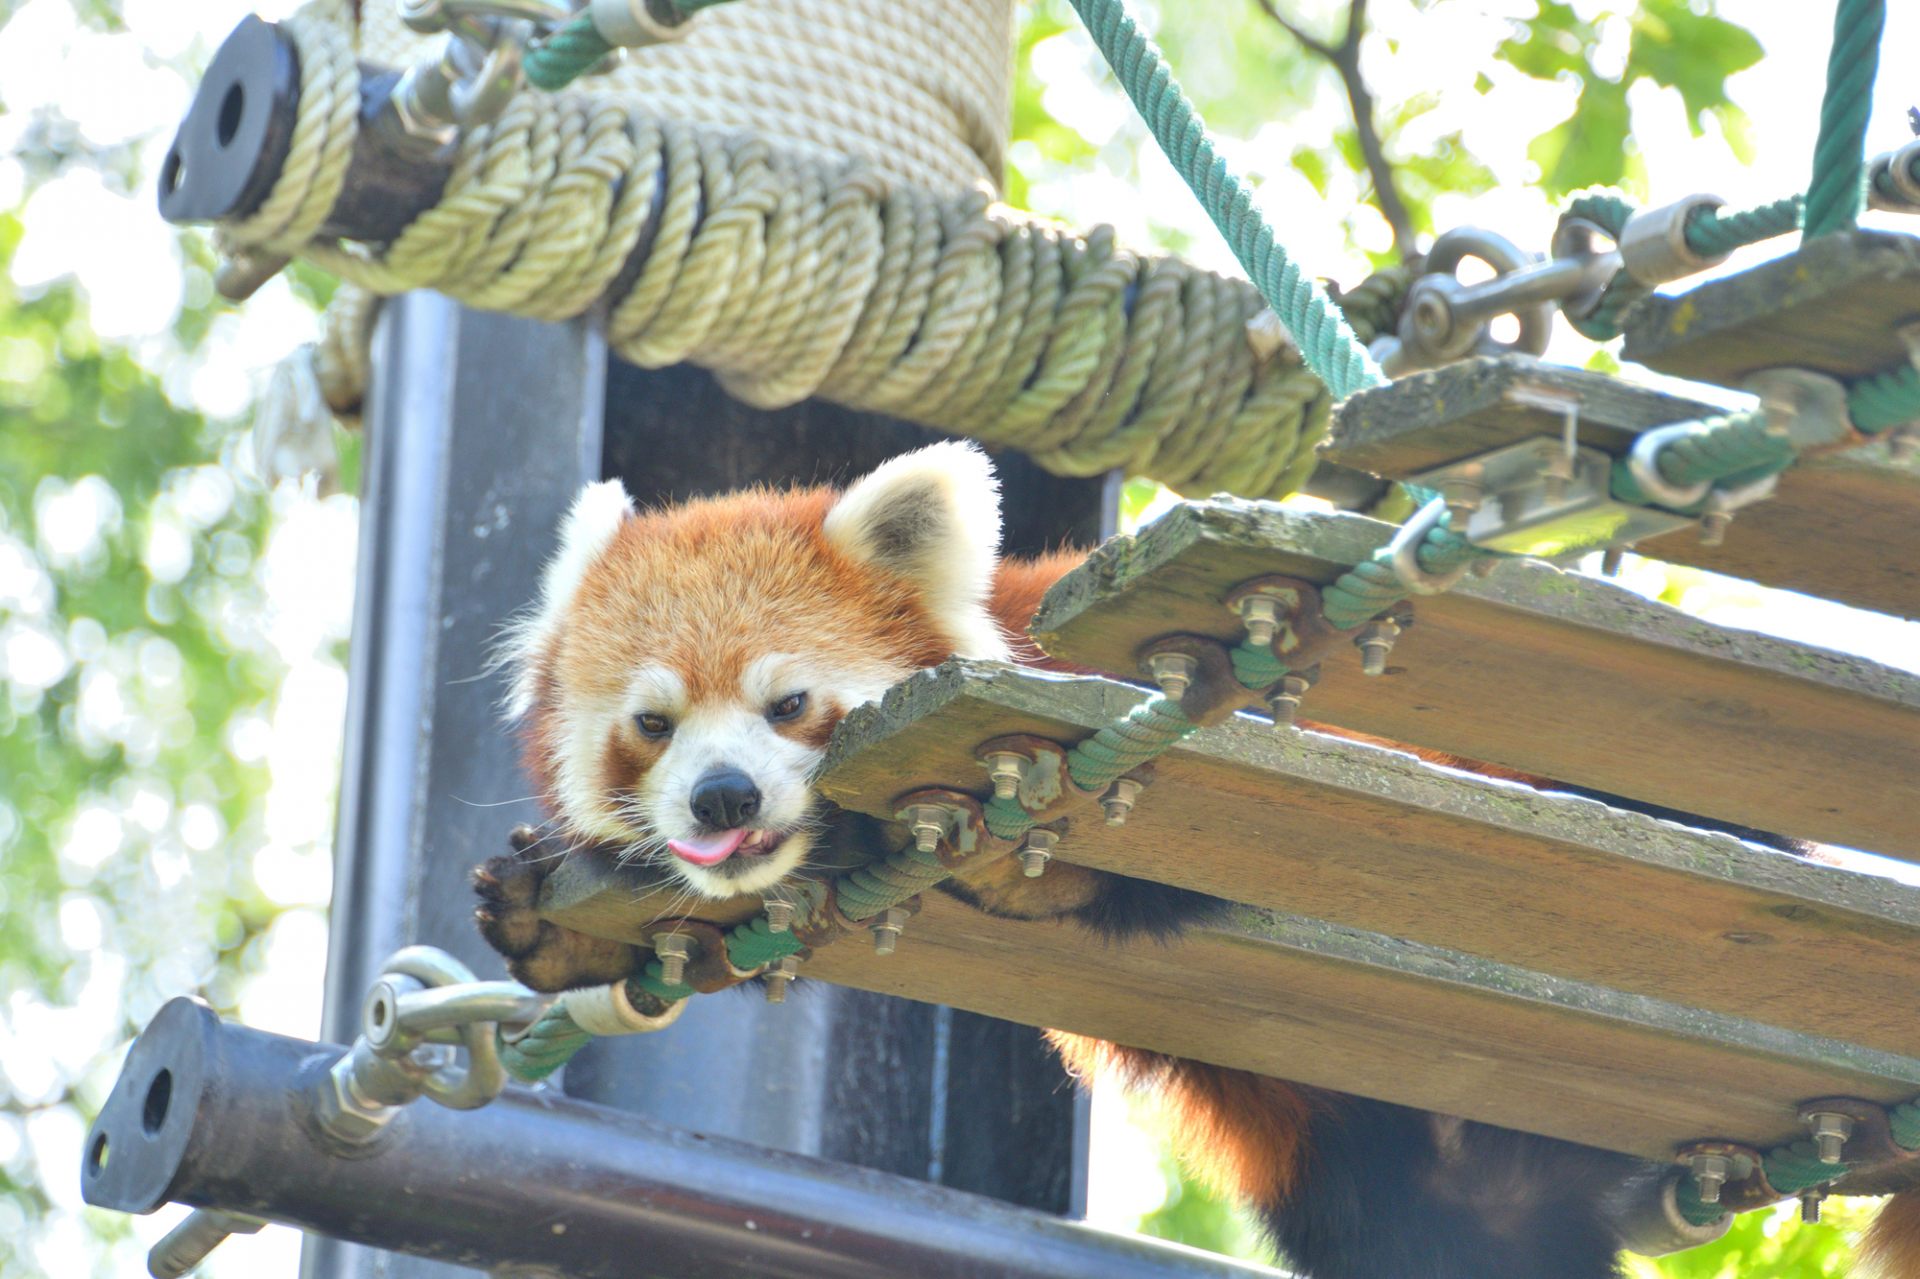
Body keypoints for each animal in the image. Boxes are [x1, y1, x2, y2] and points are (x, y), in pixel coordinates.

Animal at [472, 441, 1912, 1275]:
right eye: (653, 725)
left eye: (788, 705)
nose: (720, 795)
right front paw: (547, 907)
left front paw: (1016, 850)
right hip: (1382, 1186)